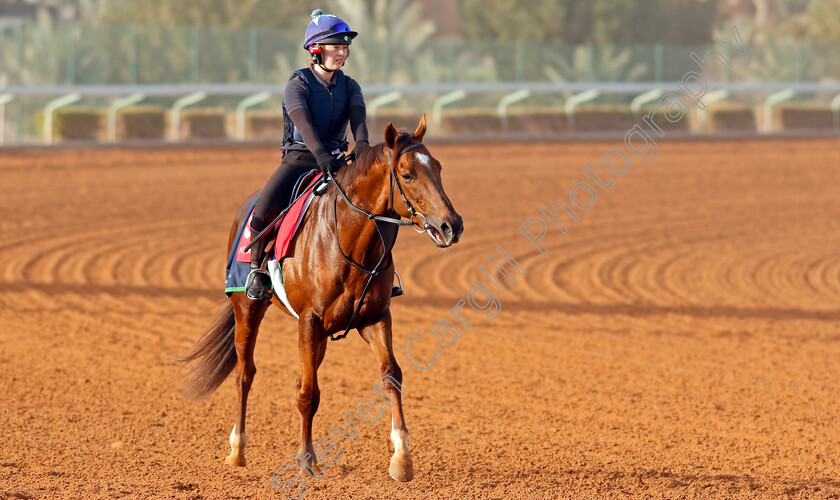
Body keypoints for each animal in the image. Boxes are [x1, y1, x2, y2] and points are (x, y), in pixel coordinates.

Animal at [180, 115, 462, 482]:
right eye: (408, 174)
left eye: (438, 167)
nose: (451, 225)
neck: (347, 238)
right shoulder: (309, 321)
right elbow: (308, 394)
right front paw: (306, 459)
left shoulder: (375, 318)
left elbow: (390, 376)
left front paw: (402, 458)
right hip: (247, 309)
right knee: (245, 374)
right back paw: (237, 450)